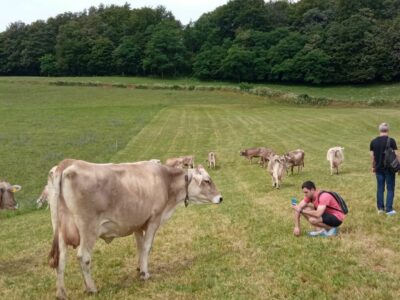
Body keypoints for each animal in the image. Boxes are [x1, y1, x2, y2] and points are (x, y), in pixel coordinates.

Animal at [47, 158, 222, 298]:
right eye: (207, 180)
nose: (220, 198)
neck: (166, 181)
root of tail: (68, 163)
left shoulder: (138, 223)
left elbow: (140, 246)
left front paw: (139, 268)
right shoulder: (154, 219)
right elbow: (147, 246)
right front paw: (145, 274)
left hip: (60, 230)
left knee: (60, 260)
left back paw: (61, 293)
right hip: (88, 229)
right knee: (83, 257)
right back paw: (92, 288)